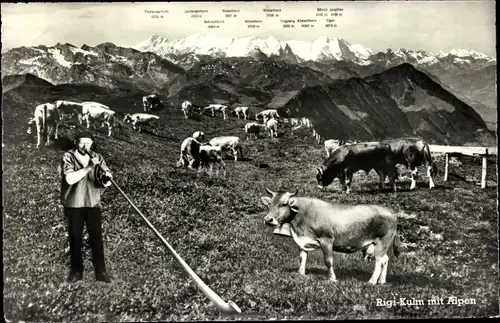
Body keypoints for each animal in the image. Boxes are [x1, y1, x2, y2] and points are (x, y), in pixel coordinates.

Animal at [262, 189, 398, 284]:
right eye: (270, 204)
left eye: (283, 204)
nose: (268, 219)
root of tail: (391, 211)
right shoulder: (302, 242)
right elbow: (302, 258)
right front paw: (300, 274)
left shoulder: (326, 240)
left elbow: (328, 261)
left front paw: (332, 278)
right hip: (378, 245)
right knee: (385, 260)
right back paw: (381, 281)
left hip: (382, 242)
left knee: (379, 262)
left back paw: (372, 281)